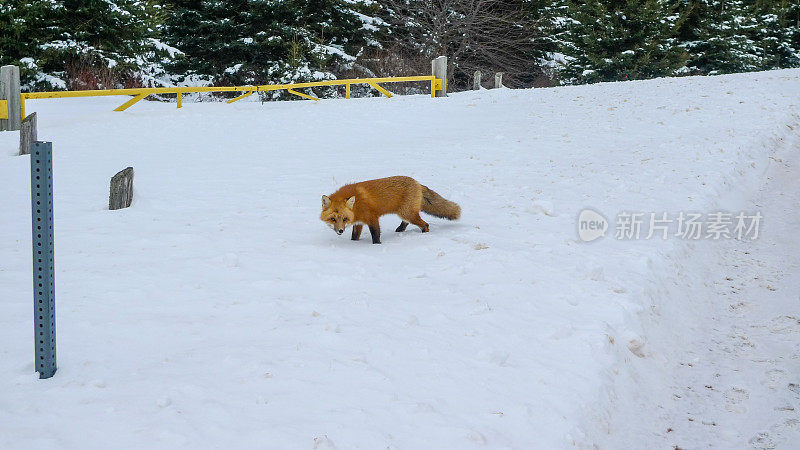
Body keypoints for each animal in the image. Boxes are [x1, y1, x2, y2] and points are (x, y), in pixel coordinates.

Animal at [320, 177, 460, 246]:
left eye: (344, 219)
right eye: (333, 219)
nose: (340, 231)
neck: (356, 206)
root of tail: (417, 182)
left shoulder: (372, 218)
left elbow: (376, 235)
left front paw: (377, 246)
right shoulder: (358, 222)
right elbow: (355, 236)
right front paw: (353, 244)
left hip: (407, 213)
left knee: (425, 224)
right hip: (405, 213)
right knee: (407, 222)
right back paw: (400, 229)